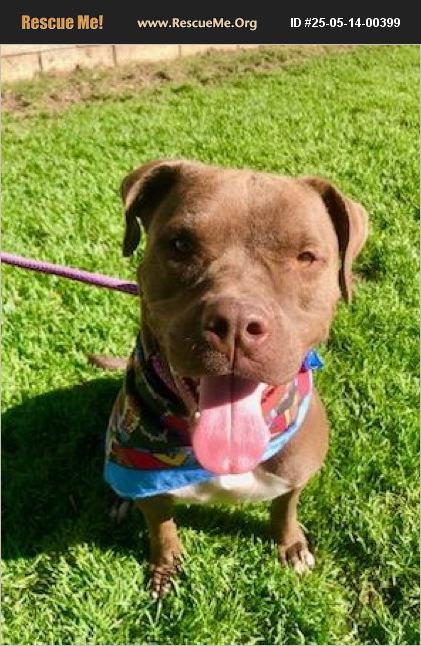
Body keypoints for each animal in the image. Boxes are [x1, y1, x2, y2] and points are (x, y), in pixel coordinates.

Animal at [101, 159, 368, 598]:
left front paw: (291, 545)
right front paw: (166, 569)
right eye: (180, 244)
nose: (237, 324)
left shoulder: (296, 474)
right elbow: (162, 527)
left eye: (306, 257)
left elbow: (285, 508)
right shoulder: (151, 494)